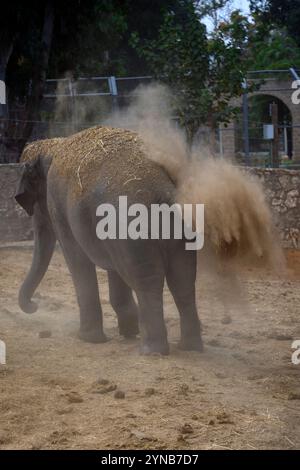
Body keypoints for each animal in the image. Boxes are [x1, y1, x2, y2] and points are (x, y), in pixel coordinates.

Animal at [14, 126, 202, 354]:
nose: (34, 305)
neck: (53, 145)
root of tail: (163, 188)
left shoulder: (57, 204)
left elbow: (76, 258)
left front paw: (88, 339)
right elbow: (113, 271)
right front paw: (128, 332)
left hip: (133, 229)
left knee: (148, 281)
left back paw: (151, 350)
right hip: (177, 230)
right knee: (183, 279)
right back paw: (189, 347)